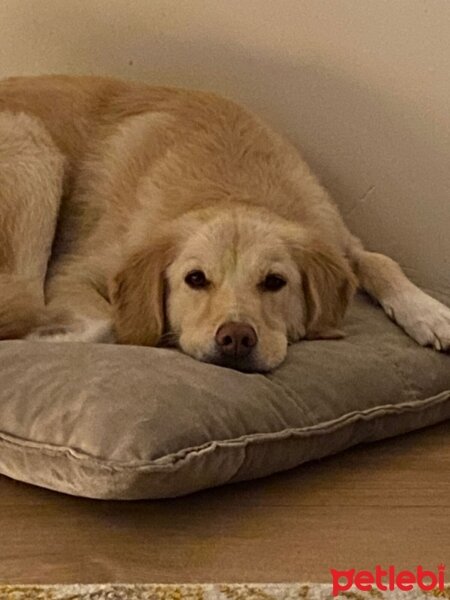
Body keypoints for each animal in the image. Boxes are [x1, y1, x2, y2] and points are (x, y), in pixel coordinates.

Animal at [0, 74, 448, 370]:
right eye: (195, 279)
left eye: (274, 282)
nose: (235, 339)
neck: (233, 184)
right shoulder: (73, 272)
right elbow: (109, 322)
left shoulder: (337, 238)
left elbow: (380, 260)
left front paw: (430, 313)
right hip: (34, 148)